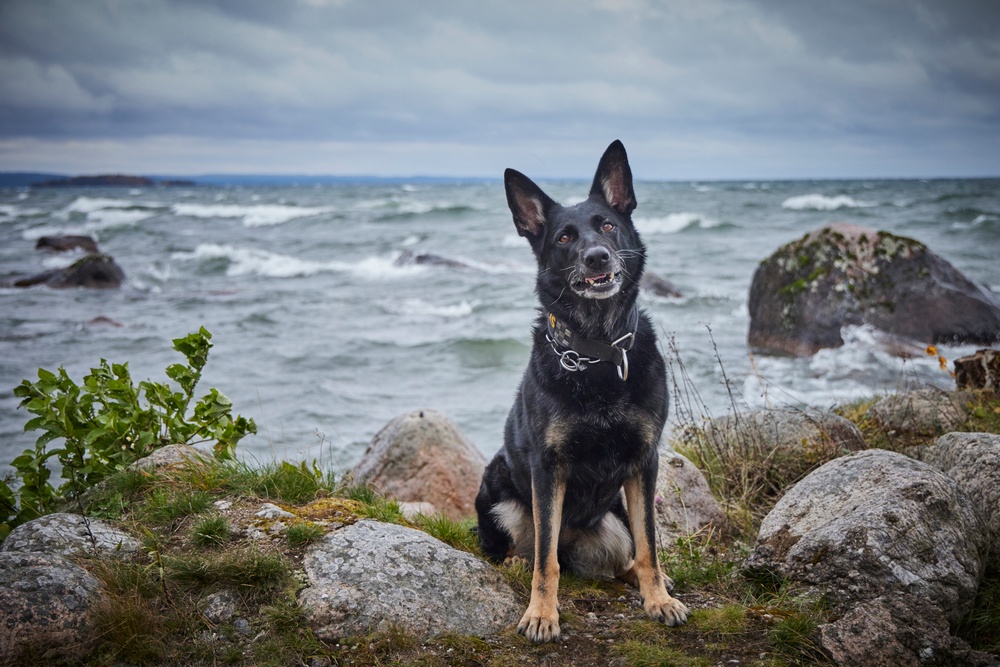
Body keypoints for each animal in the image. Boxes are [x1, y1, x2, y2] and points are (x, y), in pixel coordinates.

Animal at [476, 140, 688, 640]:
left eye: (607, 226)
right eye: (564, 239)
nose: (597, 257)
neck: (597, 352)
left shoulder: (644, 462)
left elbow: (650, 546)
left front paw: (658, 599)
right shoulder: (547, 469)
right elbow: (545, 560)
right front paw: (541, 613)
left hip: (616, 516)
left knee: (625, 555)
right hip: (497, 488)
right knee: (531, 549)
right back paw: (515, 563)